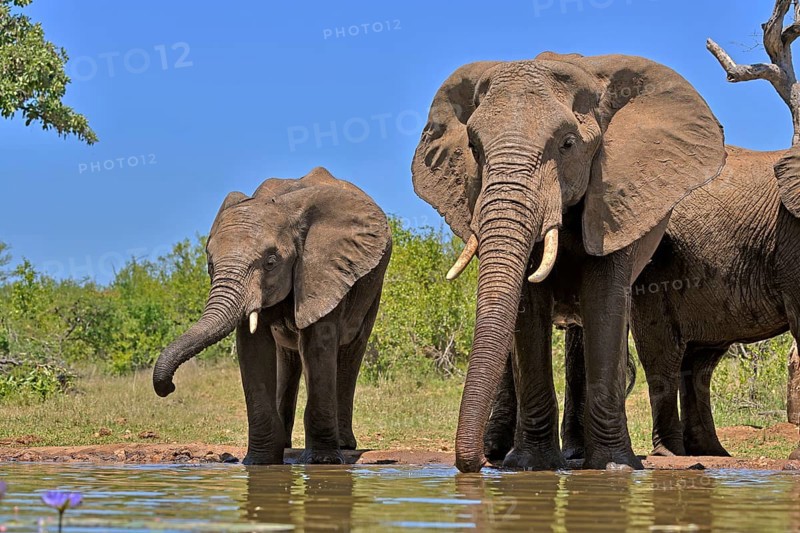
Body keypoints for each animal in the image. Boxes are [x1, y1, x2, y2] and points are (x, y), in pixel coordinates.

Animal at [152, 167, 392, 465]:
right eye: (210, 264)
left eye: (270, 262)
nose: (169, 387)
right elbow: (253, 349)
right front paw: (260, 462)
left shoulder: (325, 270)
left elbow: (318, 344)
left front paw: (322, 461)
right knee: (289, 359)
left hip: (372, 285)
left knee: (350, 352)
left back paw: (345, 445)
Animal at [412, 51, 726, 472]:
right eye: (474, 148)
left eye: (568, 144)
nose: (471, 465)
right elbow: (526, 309)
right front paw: (529, 465)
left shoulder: (615, 198)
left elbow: (604, 304)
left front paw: (614, 467)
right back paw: (506, 451)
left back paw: (575, 455)